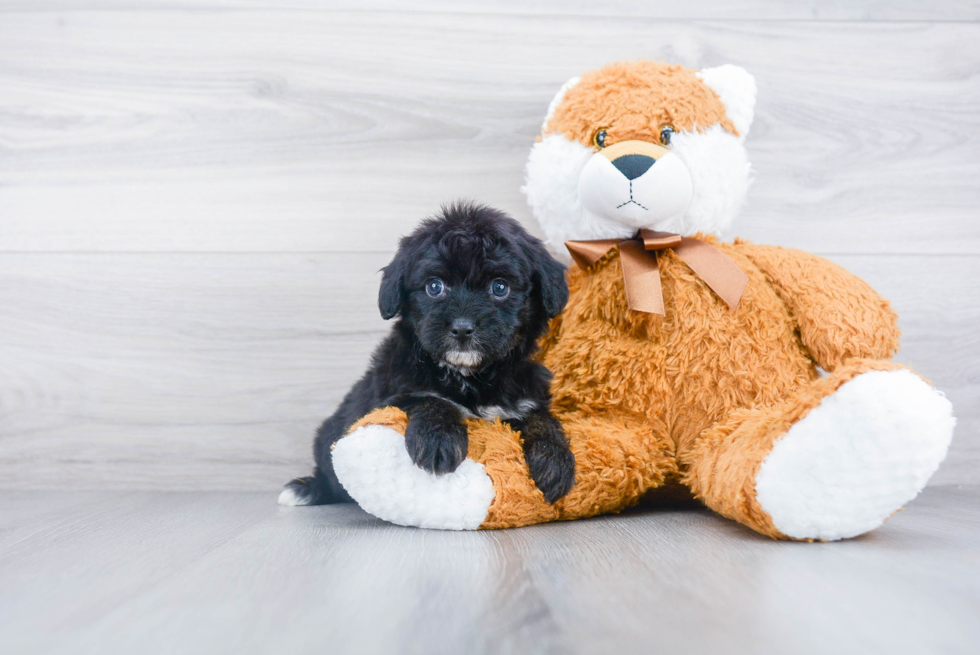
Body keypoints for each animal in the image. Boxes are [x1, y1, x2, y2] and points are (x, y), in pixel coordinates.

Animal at [278, 202, 576, 504]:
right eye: (434, 286)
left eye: (500, 287)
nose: (462, 328)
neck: (469, 377)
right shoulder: (389, 396)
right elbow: (429, 399)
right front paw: (439, 440)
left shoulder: (524, 396)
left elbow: (541, 417)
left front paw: (554, 459)